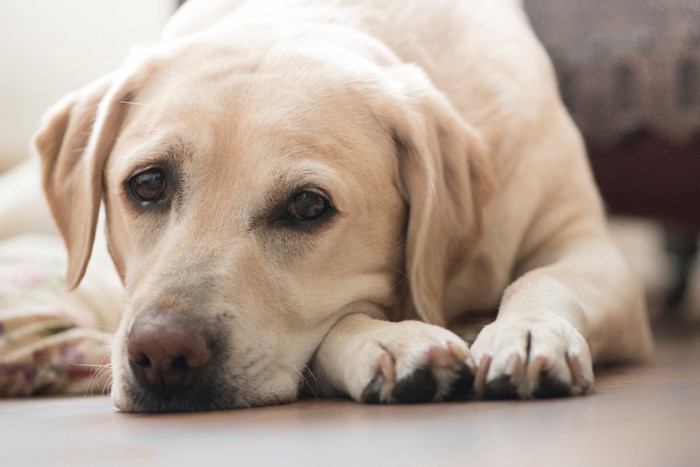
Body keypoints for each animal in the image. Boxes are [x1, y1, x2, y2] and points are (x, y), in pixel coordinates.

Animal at [34, 0, 656, 412]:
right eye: (147, 184)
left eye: (308, 206)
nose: (163, 353)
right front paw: (390, 340)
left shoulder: (592, 249)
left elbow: (543, 279)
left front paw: (527, 332)